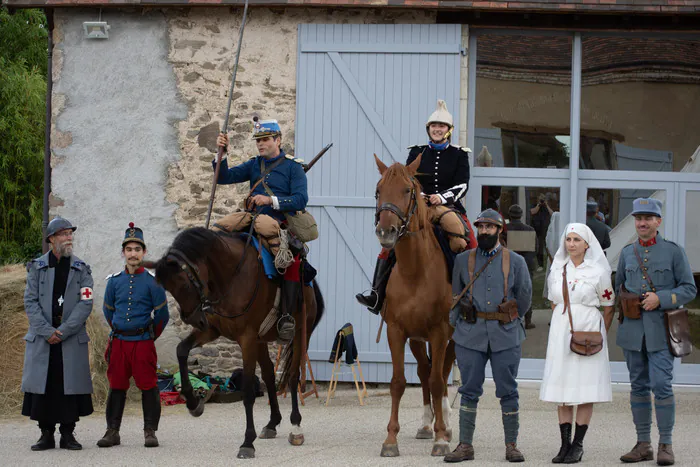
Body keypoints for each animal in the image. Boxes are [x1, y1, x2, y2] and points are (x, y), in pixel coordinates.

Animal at [147, 229, 326, 458]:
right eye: (168, 289)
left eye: (185, 284)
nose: (193, 320)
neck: (229, 277)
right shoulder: (212, 330)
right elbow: (181, 350)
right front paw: (193, 402)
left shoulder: (246, 339)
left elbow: (248, 392)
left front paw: (247, 442)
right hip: (261, 340)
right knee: (269, 375)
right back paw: (272, 423)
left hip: (301, 334)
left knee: (293, 377)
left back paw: (295, 427)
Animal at [374, 154, 456, 458]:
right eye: (378, 190)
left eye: (408, 190)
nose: (385, 232)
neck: (415, 271)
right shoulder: (397, 331)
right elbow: (398, 382)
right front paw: (390, 440)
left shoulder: (441, 332)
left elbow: (437, 381)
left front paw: (441, 438)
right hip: (418, 340)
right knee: (423, 371)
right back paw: (425, 425)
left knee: (441, 373)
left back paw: (445, 426)